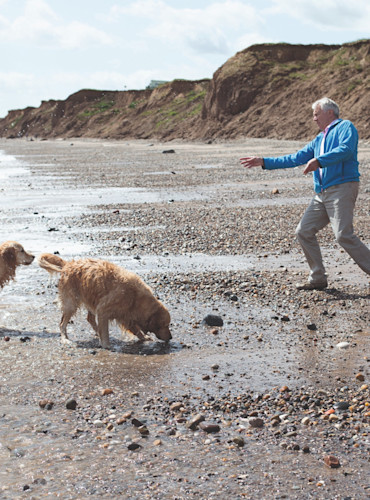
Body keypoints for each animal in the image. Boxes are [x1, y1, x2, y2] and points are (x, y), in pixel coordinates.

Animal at [36, 254, 173, 348]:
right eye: (165, 325)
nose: (171, 337)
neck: (135, 298)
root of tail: (68, 265)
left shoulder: (125, 315)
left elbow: (135, 329)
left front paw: (144, 337)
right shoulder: (103, 309)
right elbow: (106, 330)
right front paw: (106, 344)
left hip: (90, 299)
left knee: (90, 319)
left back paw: (96, 332)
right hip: (71, 303)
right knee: (62, 324)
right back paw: (65, 339)